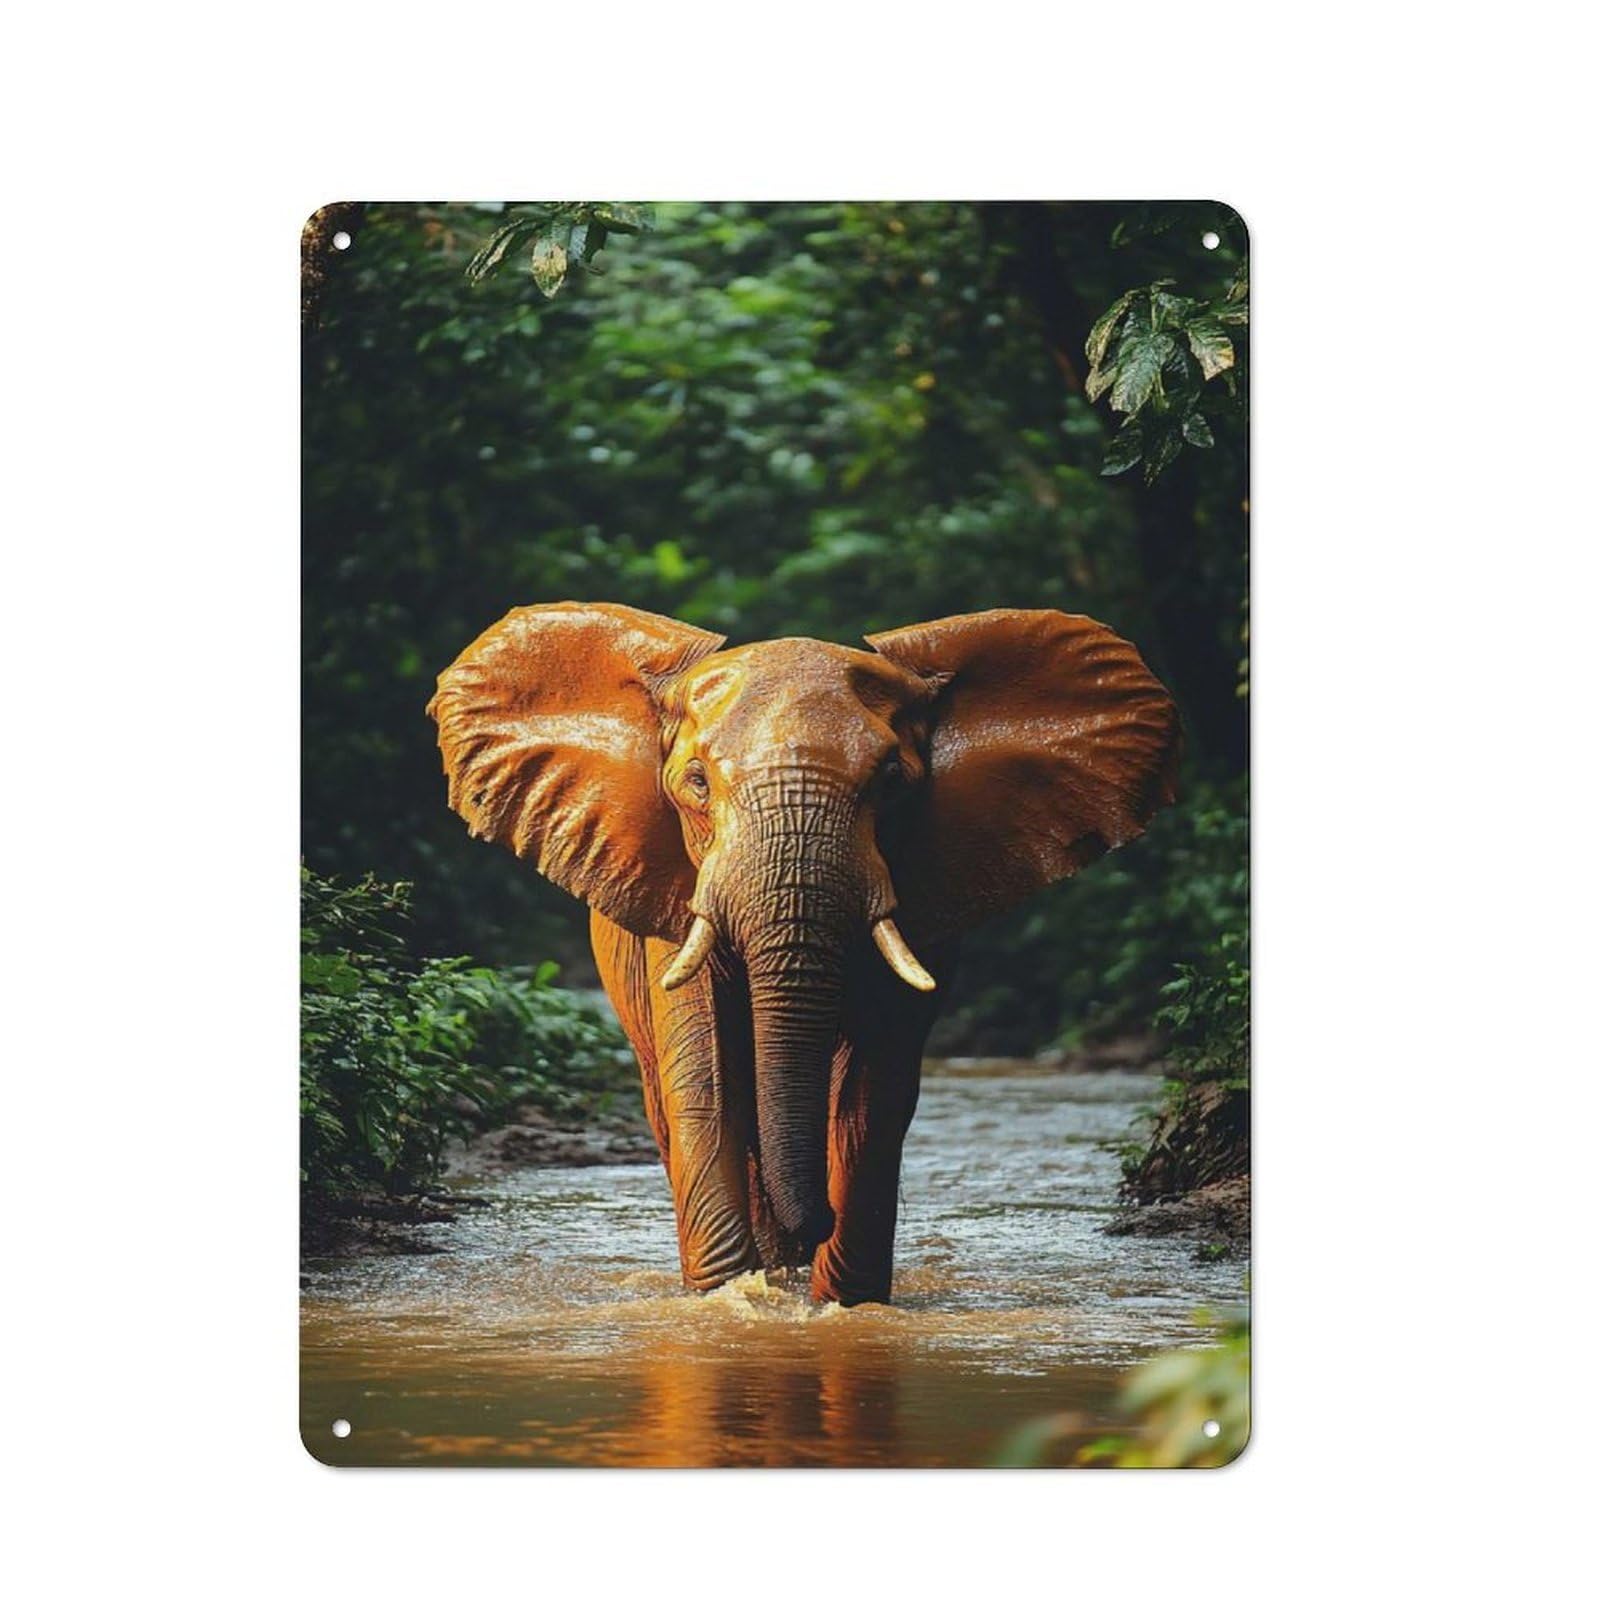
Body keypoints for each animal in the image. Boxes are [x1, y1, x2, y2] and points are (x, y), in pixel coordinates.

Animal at [428, 603, 1179, 1305]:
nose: (811, 1222)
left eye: (891, 782)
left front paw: (842, 1302)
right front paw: (732, 1298)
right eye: (697, 783)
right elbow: (706, 1082)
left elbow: (871, 1095)